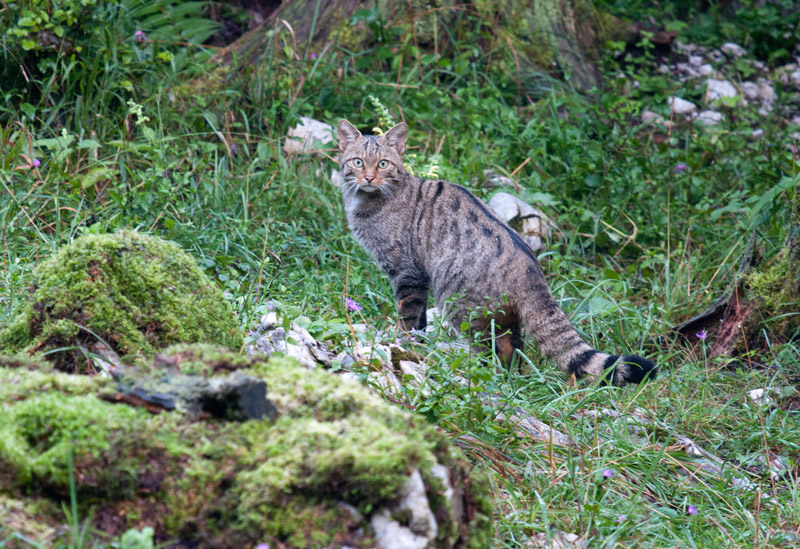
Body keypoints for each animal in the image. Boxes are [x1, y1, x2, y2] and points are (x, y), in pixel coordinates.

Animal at [338, 119, 656, 386]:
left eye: (383, 164)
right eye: (357, 162)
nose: (368, 177)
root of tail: (532, 269)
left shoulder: (408, 273)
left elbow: (408, 318)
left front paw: (400, 344)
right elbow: (420, 323)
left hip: (461, 305)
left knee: (490, 348)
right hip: (502, 317)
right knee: (514, 348)